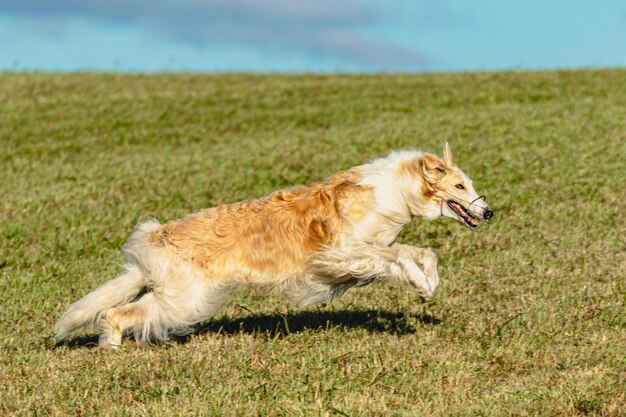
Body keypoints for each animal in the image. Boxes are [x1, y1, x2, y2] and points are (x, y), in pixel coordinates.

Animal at [53, 141, 492, 346]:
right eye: (459, 186)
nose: (488, 212)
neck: (392, 189)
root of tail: (155, 237)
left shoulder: (374, 246)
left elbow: (416, 253)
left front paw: (429, 283)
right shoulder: (341, 254)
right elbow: (395, 262)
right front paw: (420, 284)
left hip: (171, 293)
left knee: (113, 311)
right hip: (186, 300)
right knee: (115, 315)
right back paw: (111, 349)